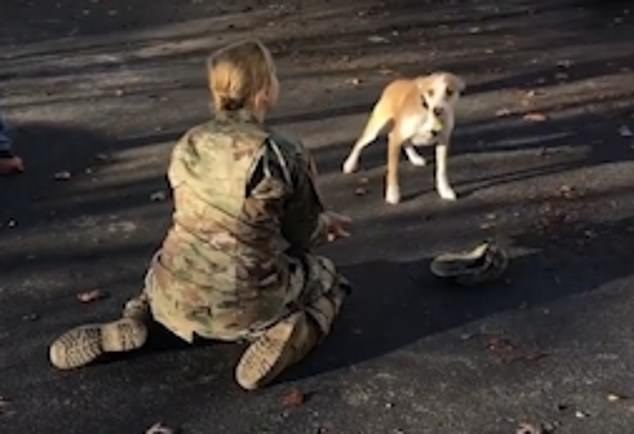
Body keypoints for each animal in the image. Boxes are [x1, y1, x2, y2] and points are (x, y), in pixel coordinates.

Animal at [342, 72, 465, 204]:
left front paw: (445, 190)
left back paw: (415, 158)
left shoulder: (443, 142)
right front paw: (393, 194)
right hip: (376, 129)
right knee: (360, 143)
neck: (427, 113)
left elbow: (441, 171)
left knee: (406, 142)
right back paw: (349, 164)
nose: (437, 110)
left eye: (449, 91)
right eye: (430, 92)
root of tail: (395, 83)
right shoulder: (395, 139)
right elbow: (393, 170)